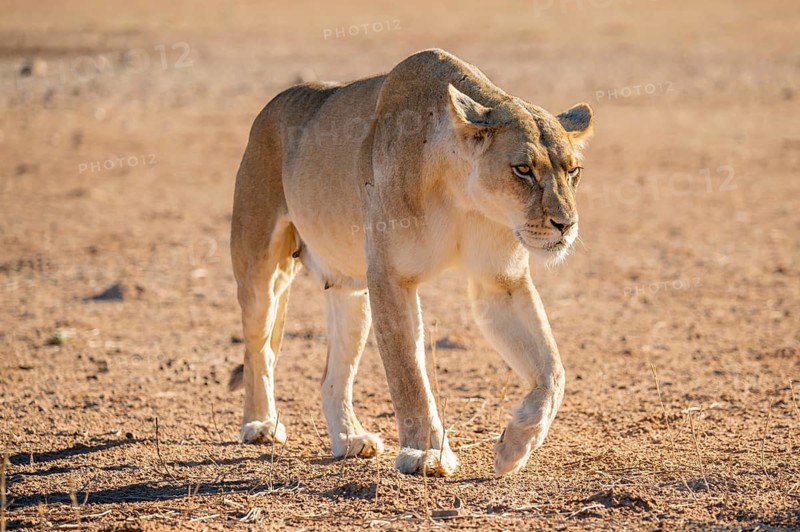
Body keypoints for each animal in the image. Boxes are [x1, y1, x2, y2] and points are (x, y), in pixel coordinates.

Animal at [228, 48, 593, 476]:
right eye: (523, 169)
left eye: (573, 170)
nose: (566, 225)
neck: (462, 195)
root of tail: (271, 107)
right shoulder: (390, 276)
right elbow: (409, 375)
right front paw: (425, 454)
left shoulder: (500, 281)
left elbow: (552, 370)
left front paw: (515, 446)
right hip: (261, 269)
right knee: (259, 351)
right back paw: (260, 425)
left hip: (350, 292)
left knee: (332, 376)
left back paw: (350, 439)